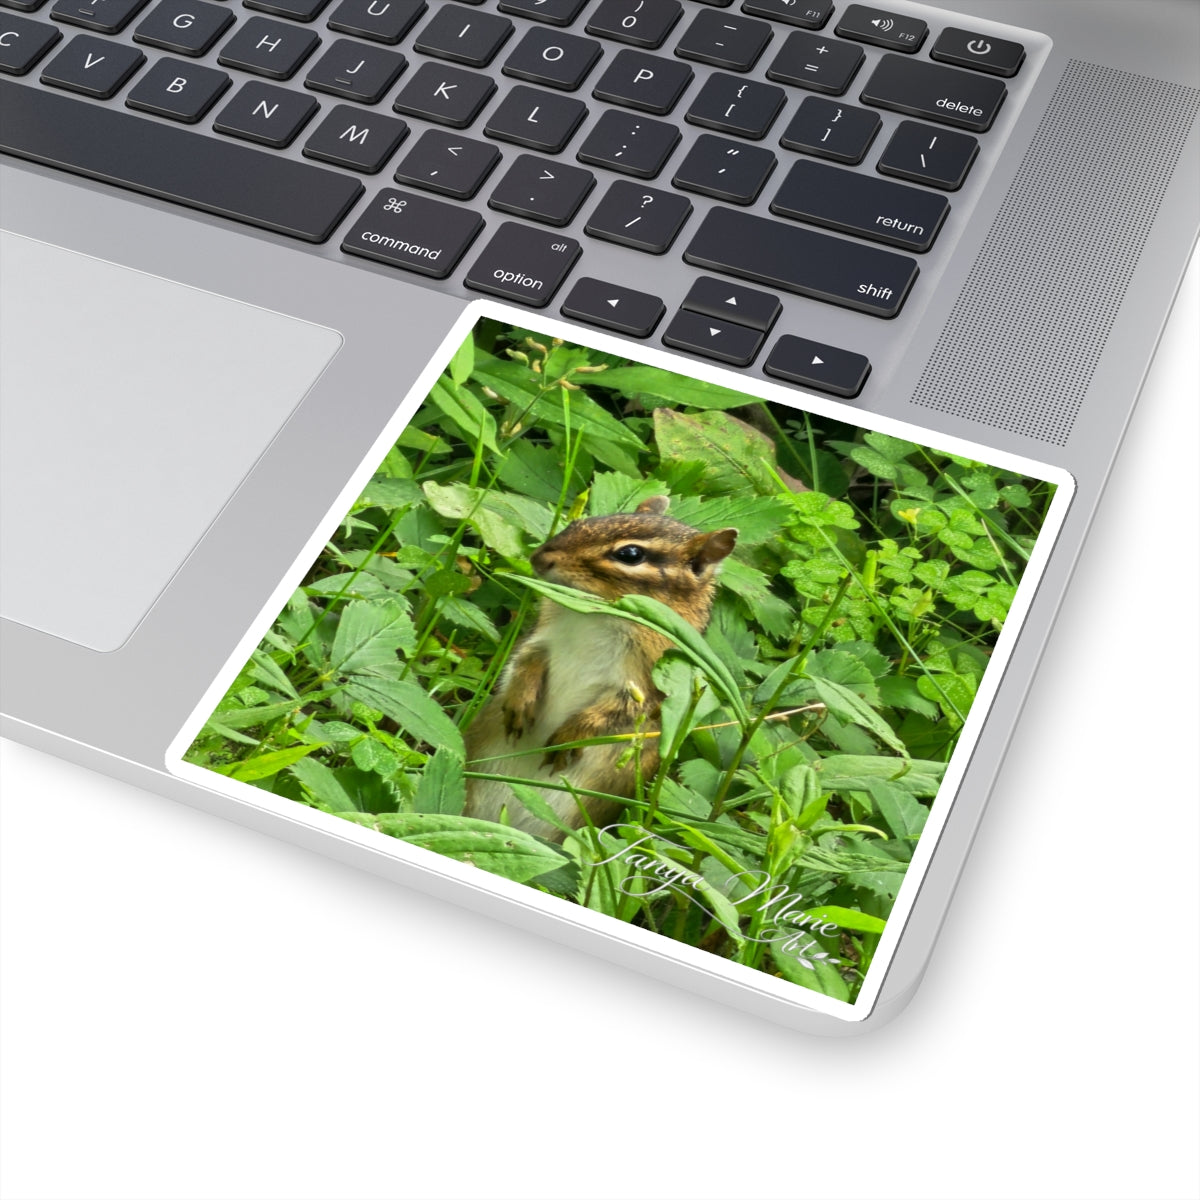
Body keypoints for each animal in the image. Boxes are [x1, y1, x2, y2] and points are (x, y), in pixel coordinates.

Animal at [463, 496, 737, 842]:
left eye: (630, 554)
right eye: (579, 523)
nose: (539, 558)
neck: (595, 614)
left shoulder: (646, 686)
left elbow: (617, 713)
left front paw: (570, 736)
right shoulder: (541, 638)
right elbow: (524, 661)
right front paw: (518, 703)